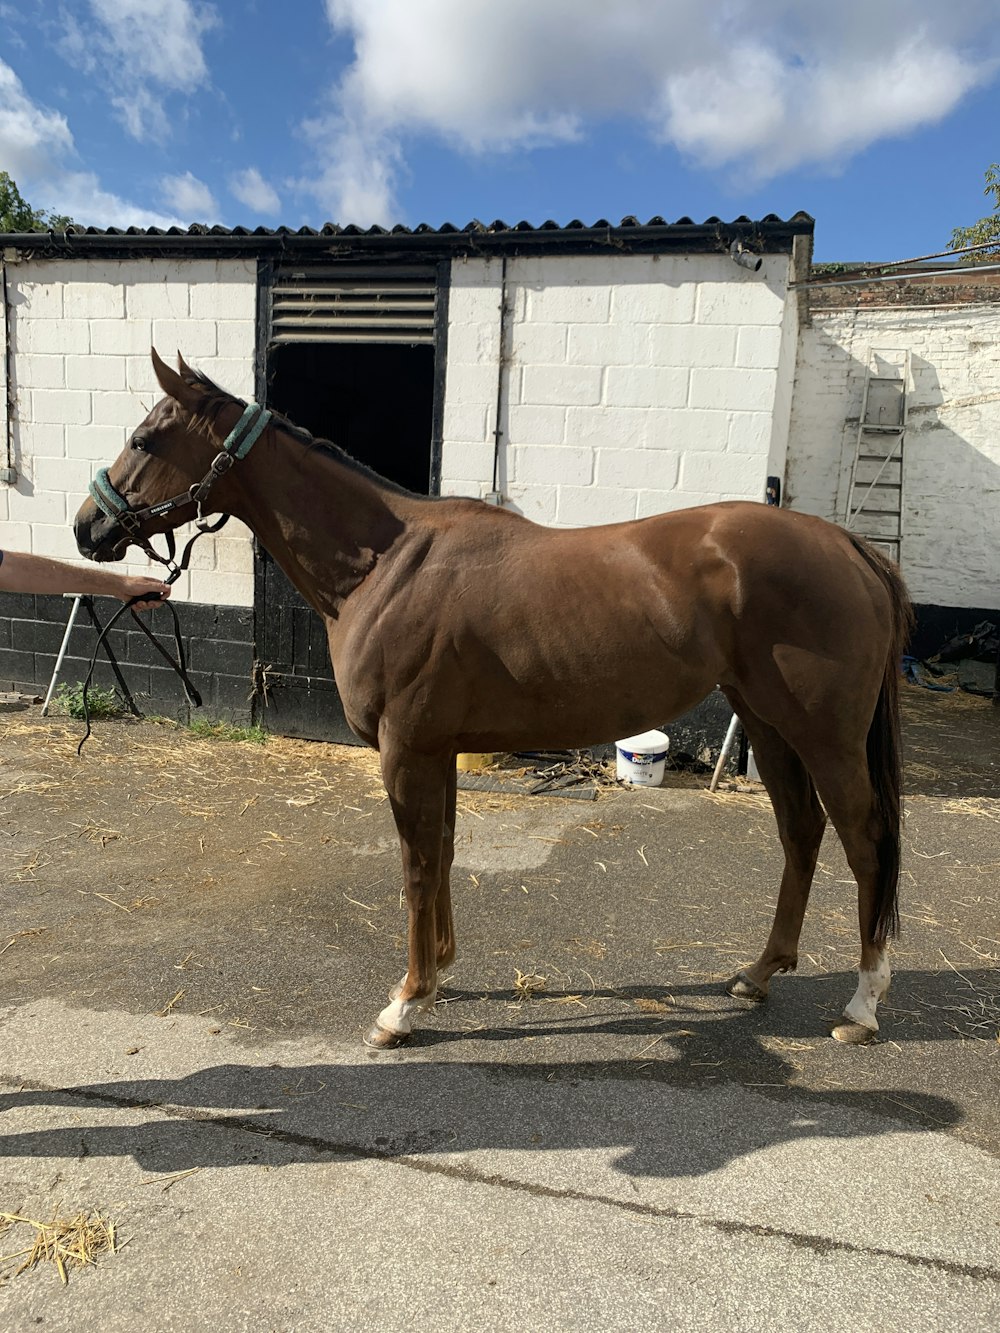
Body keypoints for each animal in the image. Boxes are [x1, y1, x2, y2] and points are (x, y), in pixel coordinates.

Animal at [72, 351, 917, 1050]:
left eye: (145, 439)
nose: (87, 527)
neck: (384, 565)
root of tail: (849, 547)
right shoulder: (437, 749)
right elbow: (442, 854)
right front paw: (439, 976)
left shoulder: (407, 751)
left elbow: (417, 865)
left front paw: (403, 1005)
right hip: (770, 725)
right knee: (801, 834)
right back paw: (759, 972)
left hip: (825, 736)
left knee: (865, 840)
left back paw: (862, 1005)